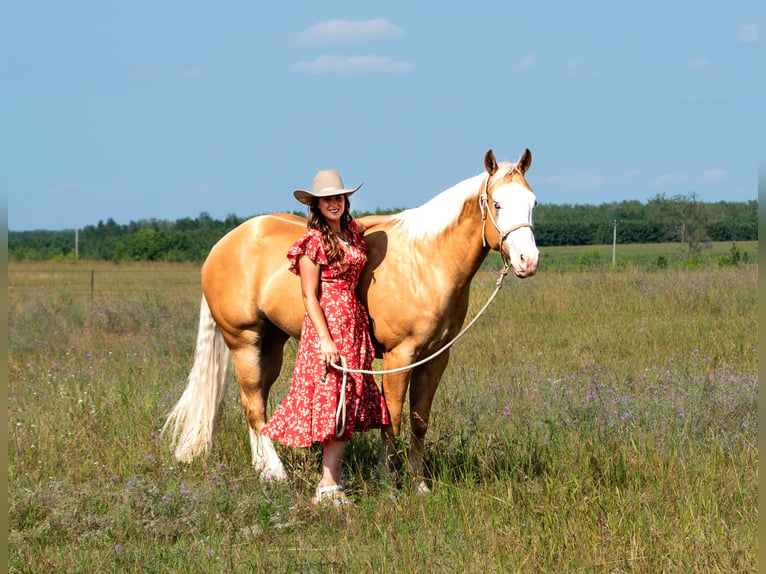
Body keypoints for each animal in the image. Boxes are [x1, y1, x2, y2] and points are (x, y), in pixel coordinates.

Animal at [165, 148, 544, 496]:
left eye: (533, 202)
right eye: (497, 203)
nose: (528, 261)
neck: (425, 262)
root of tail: (222, 245)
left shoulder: (435, 358)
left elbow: (419, 420)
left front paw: (418, 484)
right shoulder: (399, 355)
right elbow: (393, 418)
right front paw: (386, 480)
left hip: (269, 344)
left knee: (256, 399)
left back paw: (263, 466)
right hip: (244, 341)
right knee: (253, 405)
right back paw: (275, 473)